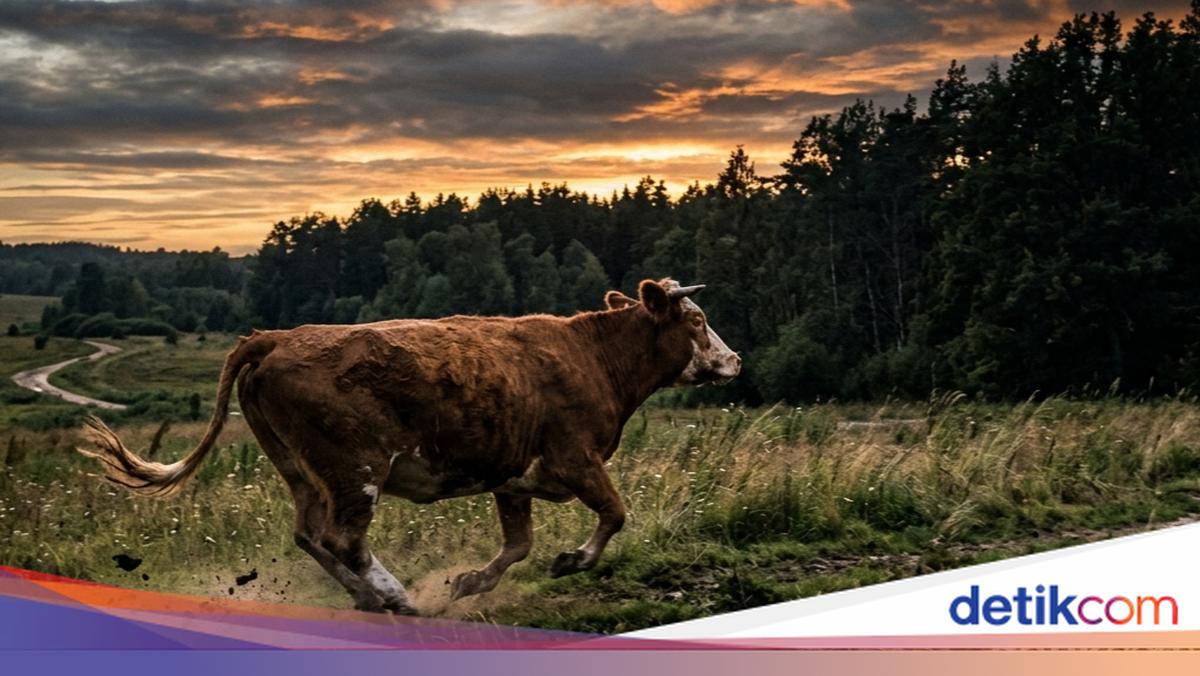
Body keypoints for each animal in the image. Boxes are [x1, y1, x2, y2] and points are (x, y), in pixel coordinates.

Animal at [77, 278, 741, 615]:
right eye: (697, 320)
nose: (734, 360)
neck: (595, 358)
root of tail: (277, 336)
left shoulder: (514, 475)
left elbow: (518, 545)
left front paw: (467, 583)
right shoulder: (575, 457)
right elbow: (614, 512)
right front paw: (572, 560)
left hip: (300, 470)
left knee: (309, 535)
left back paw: (371, 597)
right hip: (355, 469)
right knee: (342, 539)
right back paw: (392, 594)